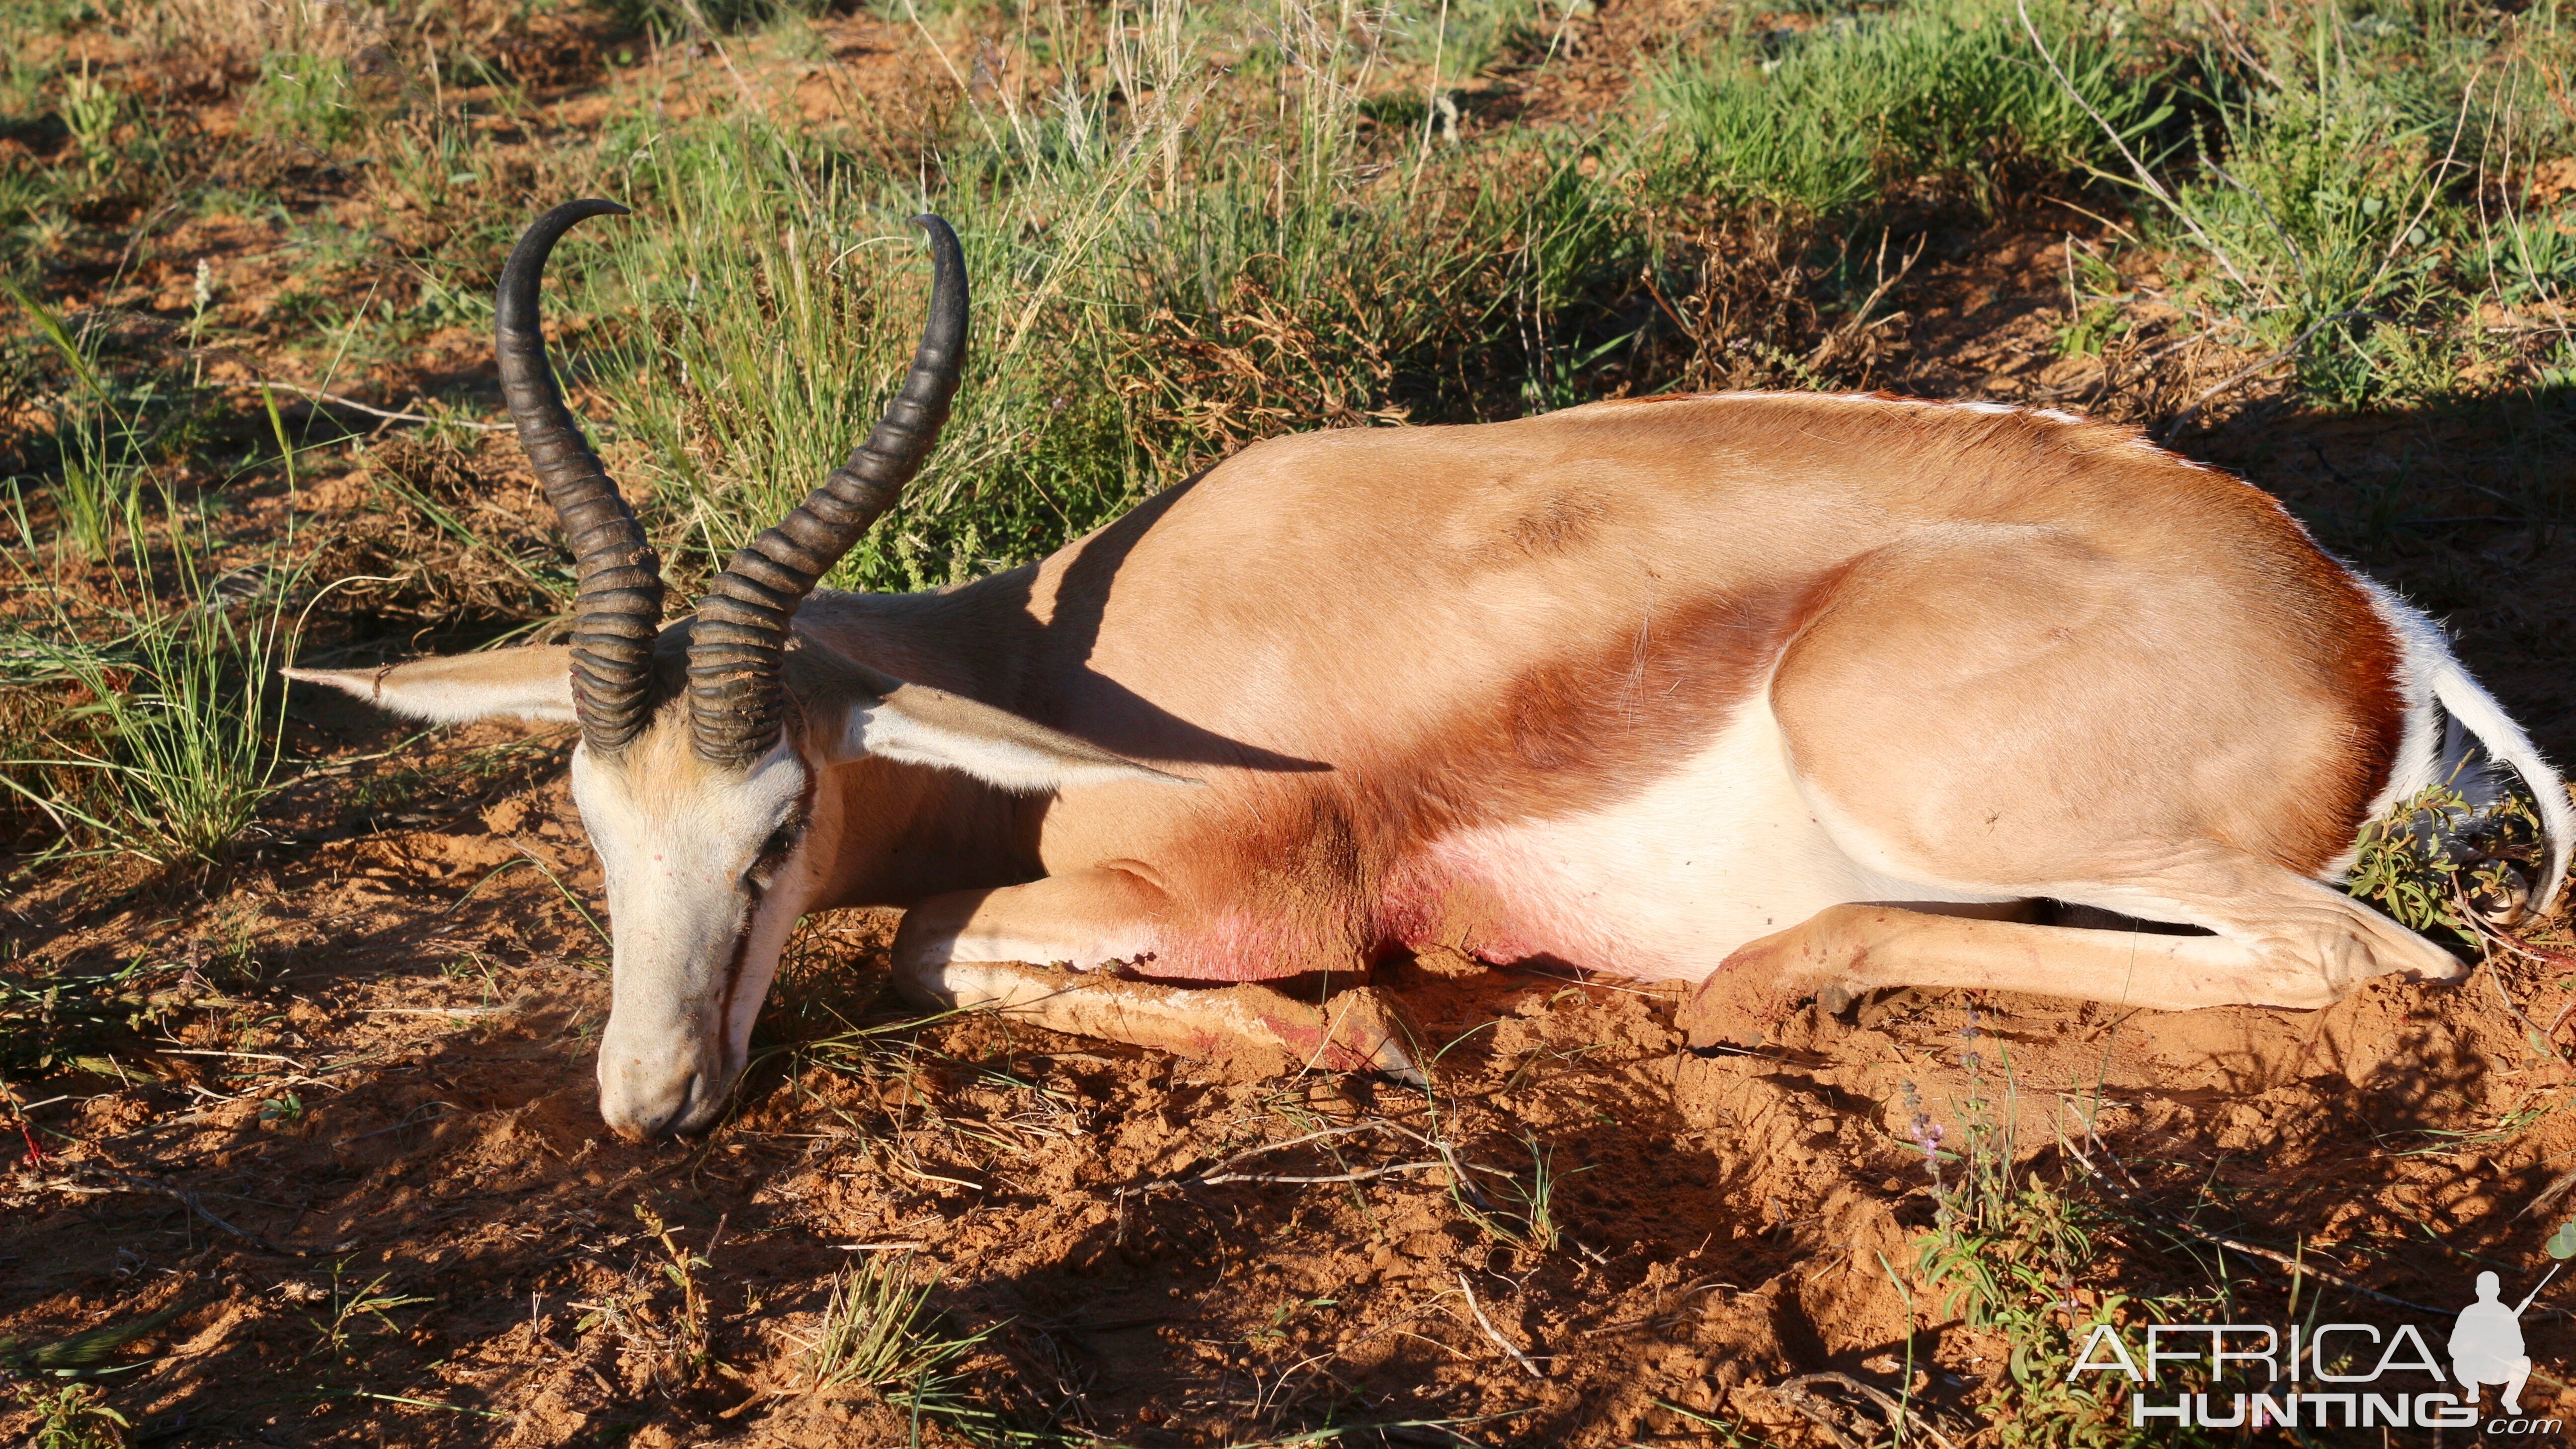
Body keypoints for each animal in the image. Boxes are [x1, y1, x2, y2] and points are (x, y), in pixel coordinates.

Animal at [287, 197, 2555, 1134]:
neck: (1059, 651)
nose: (648, 1110)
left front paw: (1346, 1047)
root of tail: (2358, 618)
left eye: (777, 830)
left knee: (2363, 962)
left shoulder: (1237, 883)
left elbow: (938, 948)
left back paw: (1757, 981)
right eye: (595, 829)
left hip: (1925, 781)